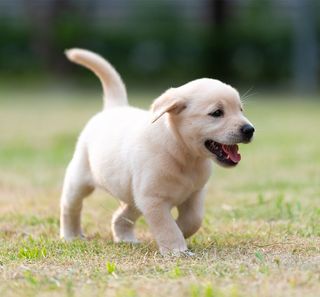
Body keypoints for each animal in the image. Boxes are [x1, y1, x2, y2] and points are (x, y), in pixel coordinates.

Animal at [60, 48, 255, 254]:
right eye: (217, 113)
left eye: (240, 109)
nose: (249, 129)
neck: (183, 155)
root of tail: (114, 108)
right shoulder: (153, 200)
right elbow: (167, 226)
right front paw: (177, 250)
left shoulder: (194, 194)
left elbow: (193, 220)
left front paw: (181, 231)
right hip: (79, 180)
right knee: (70, 207)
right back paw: (71, 236)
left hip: (133, 197)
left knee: (121, 216)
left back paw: (125, 238)